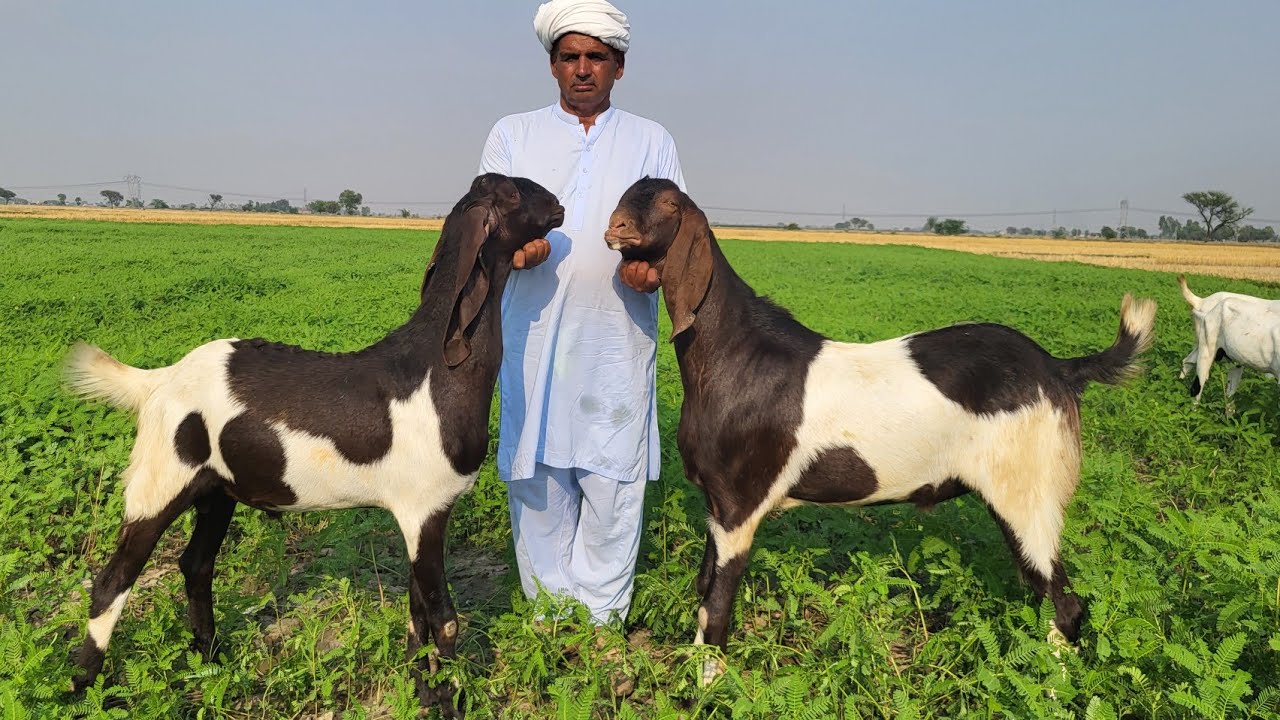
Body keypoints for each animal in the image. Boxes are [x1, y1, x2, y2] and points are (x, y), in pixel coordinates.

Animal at [63, 173, 563, 716]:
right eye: (513, 193)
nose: (559, 205)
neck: (436, 369)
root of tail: (157, 381)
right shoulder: (423, 510)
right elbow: (444, 619)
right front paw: (451, 702)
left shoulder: (422, 513)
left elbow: (418, 617)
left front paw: (423, 694)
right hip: (161, 479)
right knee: (112, 581)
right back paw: (81, 689)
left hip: (216, 490)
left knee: (196, 564)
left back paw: (212, 661)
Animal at [605, 178, 1156, 684]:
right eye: (628, 193)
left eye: (669, 202)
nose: (615, 227)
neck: (738, 353)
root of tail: (1058, 369)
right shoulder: (716, 509)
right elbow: (703, 589)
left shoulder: (741, 508)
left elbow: (716, 608)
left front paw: (707, 686)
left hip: (1027, 497)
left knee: (1064, 606)